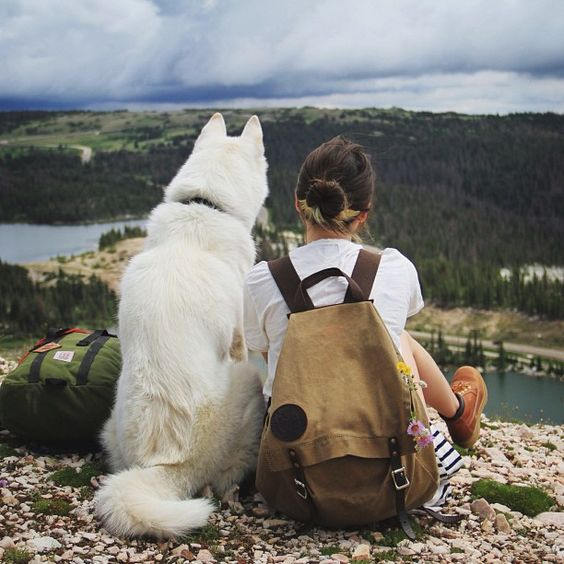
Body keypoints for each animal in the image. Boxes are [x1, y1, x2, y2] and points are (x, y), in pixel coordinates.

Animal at [96, 113, 270, 536]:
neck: (205, 207)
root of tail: (167, 465)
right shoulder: (239, 336)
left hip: (110, 424)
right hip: (247, 387)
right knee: (224, 478)